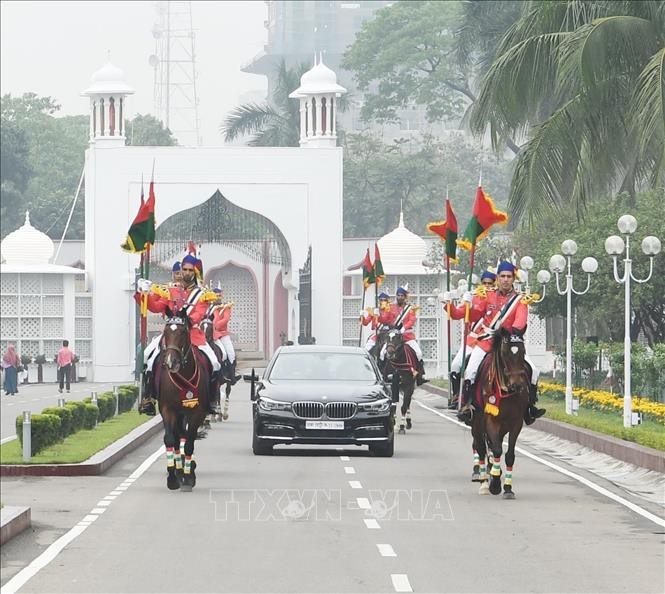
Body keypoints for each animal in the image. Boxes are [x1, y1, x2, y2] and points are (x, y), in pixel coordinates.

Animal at [158, 308, 210, 488]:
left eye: (182, 332)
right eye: (166, 331)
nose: (170, 362)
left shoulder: (197, 412)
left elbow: (189, 443)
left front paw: (188, 477)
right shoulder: (167, 409)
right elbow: (169, 439)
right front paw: (172, 477)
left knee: (185, 437)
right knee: (177, 437)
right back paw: (178, 470)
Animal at [472, 326, 528, 498]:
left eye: (523, 352)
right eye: (505, 353)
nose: (517, 385)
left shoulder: (516, 423)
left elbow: (509, 455)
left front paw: (508, 488)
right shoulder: (491, 420)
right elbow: (496, 449)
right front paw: (495, 484)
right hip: (477, 422)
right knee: (481, 448)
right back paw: (483, 482)